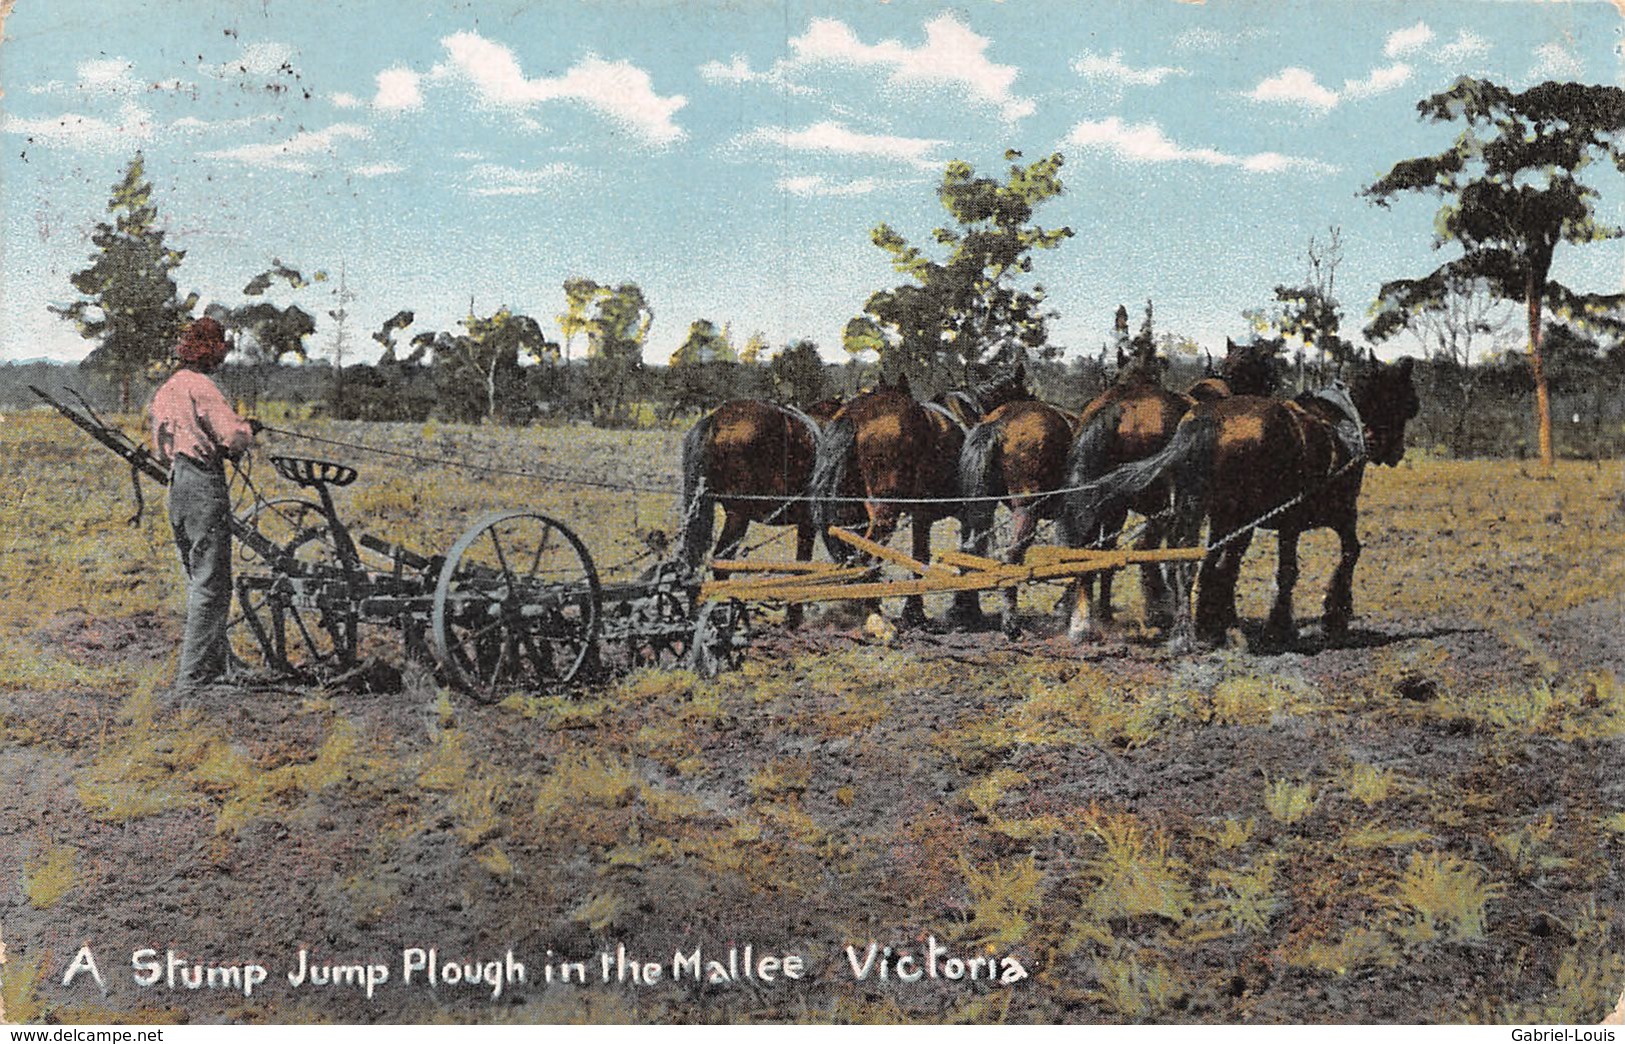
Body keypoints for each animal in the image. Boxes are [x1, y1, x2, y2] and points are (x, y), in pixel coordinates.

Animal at [812, 365, 1027, 624]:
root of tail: (856, 415)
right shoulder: (973, 513)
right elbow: (969, 553)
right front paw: (966, 609)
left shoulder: (922, 515)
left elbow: (922, 557)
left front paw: (916, 612)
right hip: (885, 513)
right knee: (867, 554)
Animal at [1059, 357, 1417, 650]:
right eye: (1404, 402)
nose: (1396, 452)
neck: (1337, 421)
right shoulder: (1334, 514)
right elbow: (1340, 555)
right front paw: (1324, 617)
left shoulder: (1263, 521)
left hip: (1154, 506)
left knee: (1121, 552)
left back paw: (1098, 620)